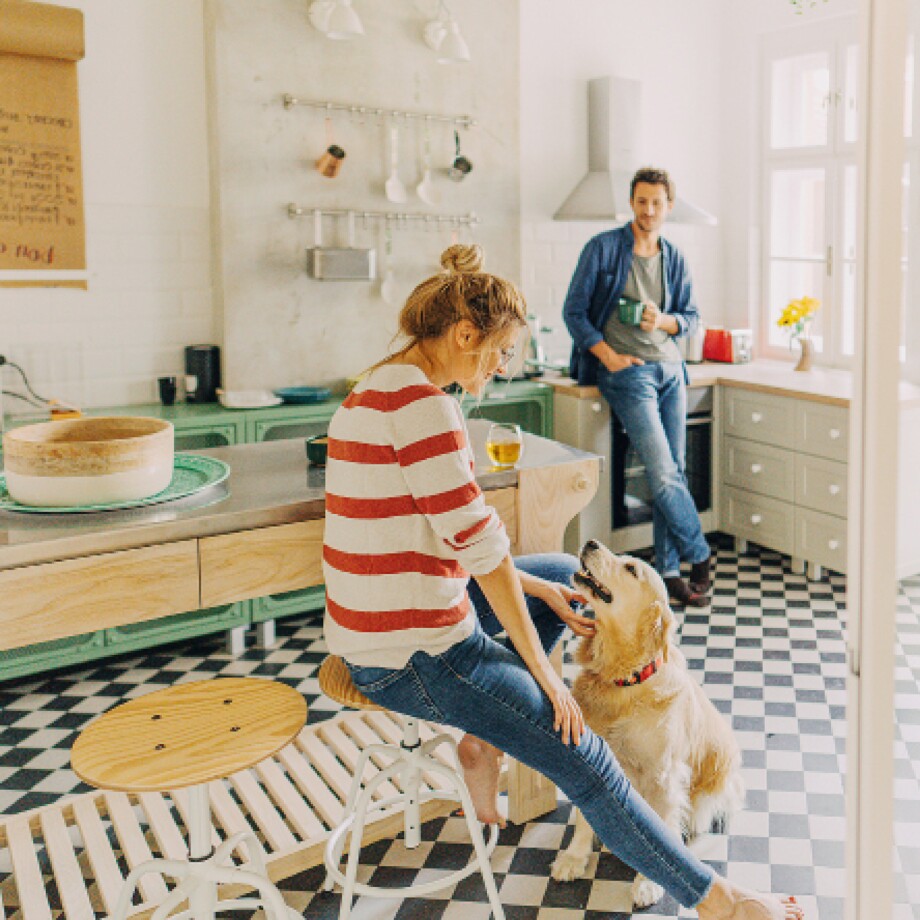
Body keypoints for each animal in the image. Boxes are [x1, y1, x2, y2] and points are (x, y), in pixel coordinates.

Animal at [548, 540, 744, 904]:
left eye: (631, 569)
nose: (591, 542)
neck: (624, 680)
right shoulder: (591, 756)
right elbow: (584, 818)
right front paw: (575, 857)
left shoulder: (663, 774)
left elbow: (659, 827)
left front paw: (647, 882)